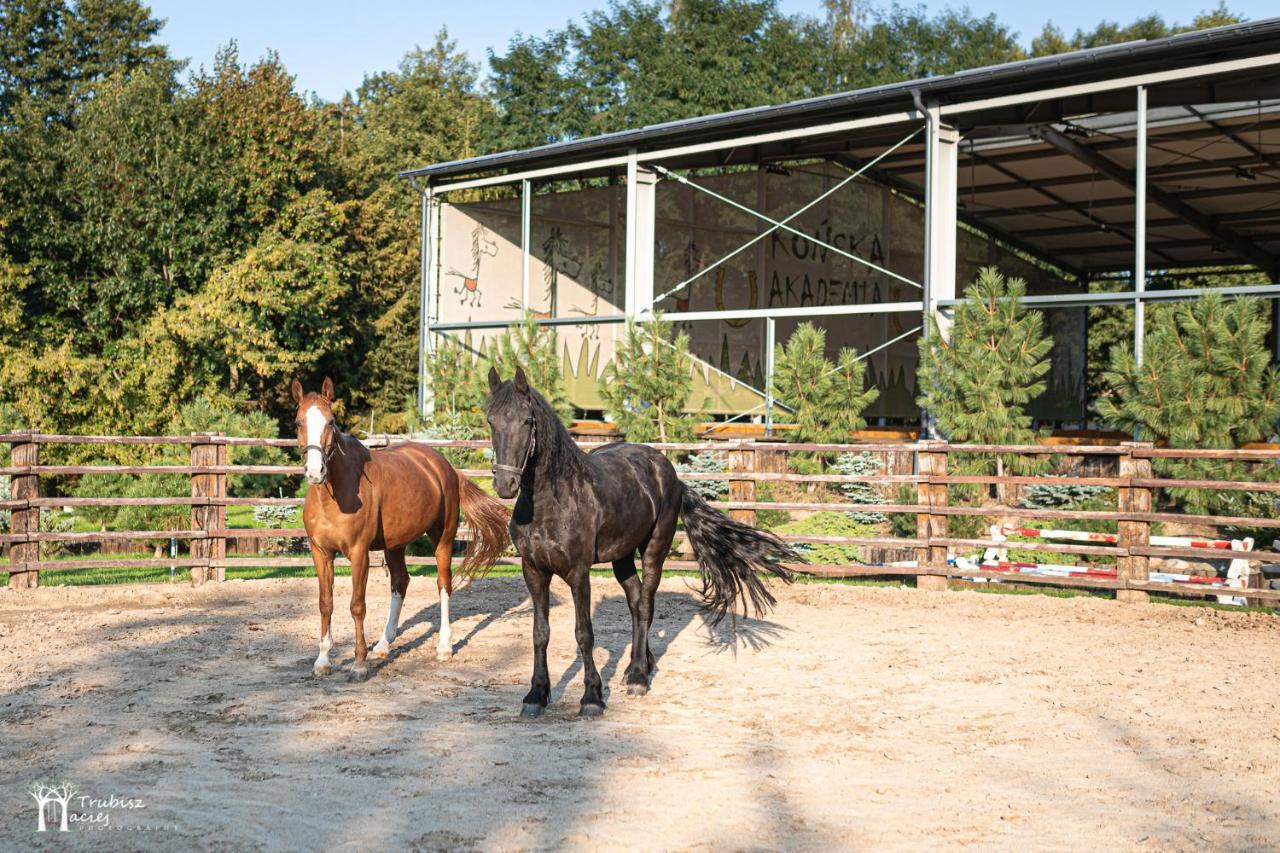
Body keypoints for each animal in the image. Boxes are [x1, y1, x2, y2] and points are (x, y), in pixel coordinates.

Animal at [293, 379, 506, 676]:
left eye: (331, 422)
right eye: (298, 422)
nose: (315, 472)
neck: (333, 496)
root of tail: (447, 468)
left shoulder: (359, 553)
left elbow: (357, 606)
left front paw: (359, 663)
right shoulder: (320, 552)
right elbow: (326, 604)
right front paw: (323, 660)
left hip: (443, 538)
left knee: (444, 584)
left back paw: (444, 647)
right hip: (395, 545)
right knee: (400, 582)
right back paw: (383, 644)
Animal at [483, 366, 793, 717]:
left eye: (526, 421)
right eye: (492, 420)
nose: (505, 484)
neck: (553, 501)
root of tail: (668, 471)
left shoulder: (579, 573)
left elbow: (584, 633)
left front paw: (591, 697)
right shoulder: (533, 571)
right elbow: (540, 633)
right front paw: (536, 695)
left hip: (654, 550)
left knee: (645, 604)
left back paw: (639, 679)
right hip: (621, 556)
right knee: (634, 600)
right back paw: (637, 665)